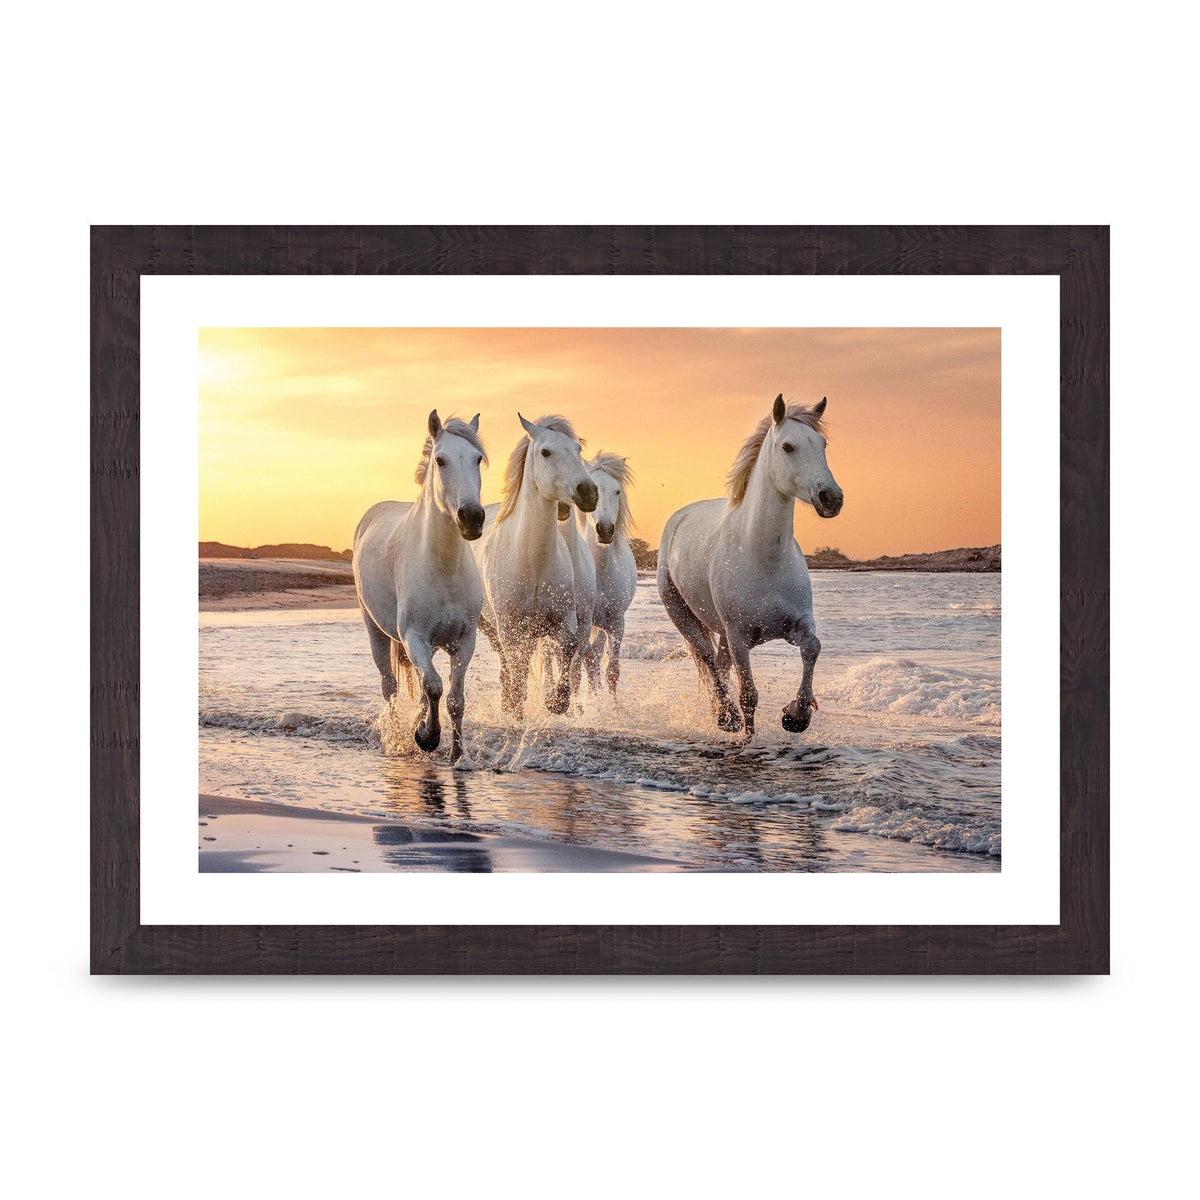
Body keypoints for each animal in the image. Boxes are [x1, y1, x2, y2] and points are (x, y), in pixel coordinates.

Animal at [353, 411, 487, 763]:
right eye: (440, 460)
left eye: (477, 459)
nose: (472, 517)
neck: (443, 567)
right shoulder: (414, 637)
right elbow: (435, 687)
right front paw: (427, 737)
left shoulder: (464, 641)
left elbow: (453, 698)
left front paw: (457, 755)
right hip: (375, 630)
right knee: (389, 686)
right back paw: (398, 738)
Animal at [473, 414, 598, 718]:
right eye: (545, 452)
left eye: (578, 450)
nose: (588, 493)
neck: (534, 562)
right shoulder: (509, 627)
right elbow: (516, 666)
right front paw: (517, 706)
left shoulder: (565, 620)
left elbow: (569, 648)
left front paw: (556, 702)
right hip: (490, 626)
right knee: (507, 663)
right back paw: (509, 703)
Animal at [657, 394, 843, 739]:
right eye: (788, 447)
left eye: (822, 444)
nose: (831, 498)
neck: (764, 559)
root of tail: (680, 517)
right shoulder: (739, 636)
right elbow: (748, 695)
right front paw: (749, 737)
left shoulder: (797, 624)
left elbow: (813, 648)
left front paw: (796, 716)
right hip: (683, 616)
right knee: (708, 660)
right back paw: (726, 716)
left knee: (719, 664)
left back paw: (721, 714)